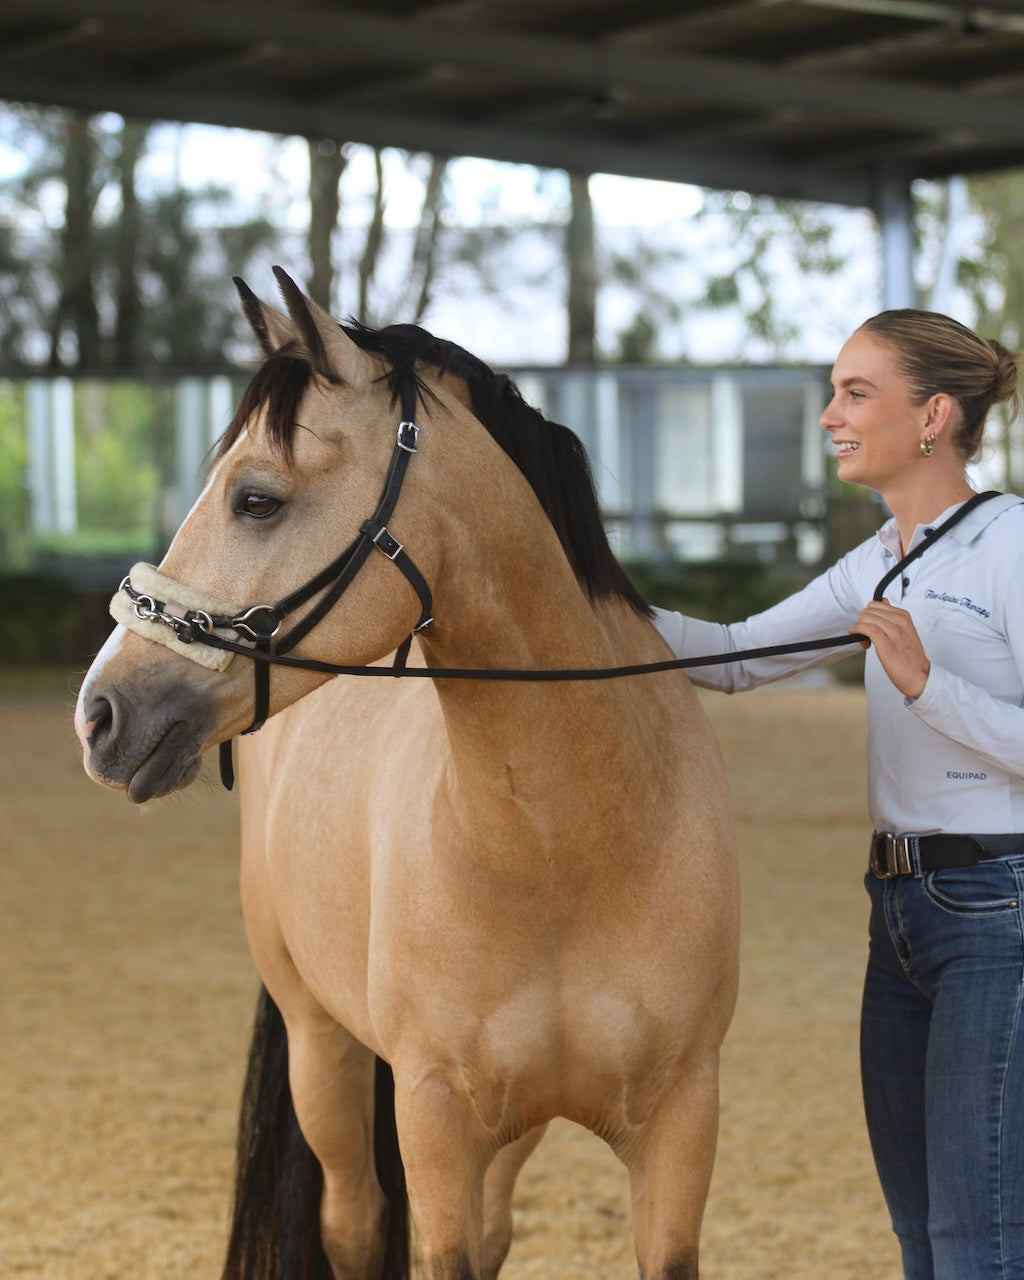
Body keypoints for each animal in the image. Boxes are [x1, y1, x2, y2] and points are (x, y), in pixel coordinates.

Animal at [74, 268, 739, 1280]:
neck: (565, 845)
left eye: (255, 499)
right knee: (352, 1221)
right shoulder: (434, 1121)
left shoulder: (678, 1124)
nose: (101, 713)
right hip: (321, 1047)